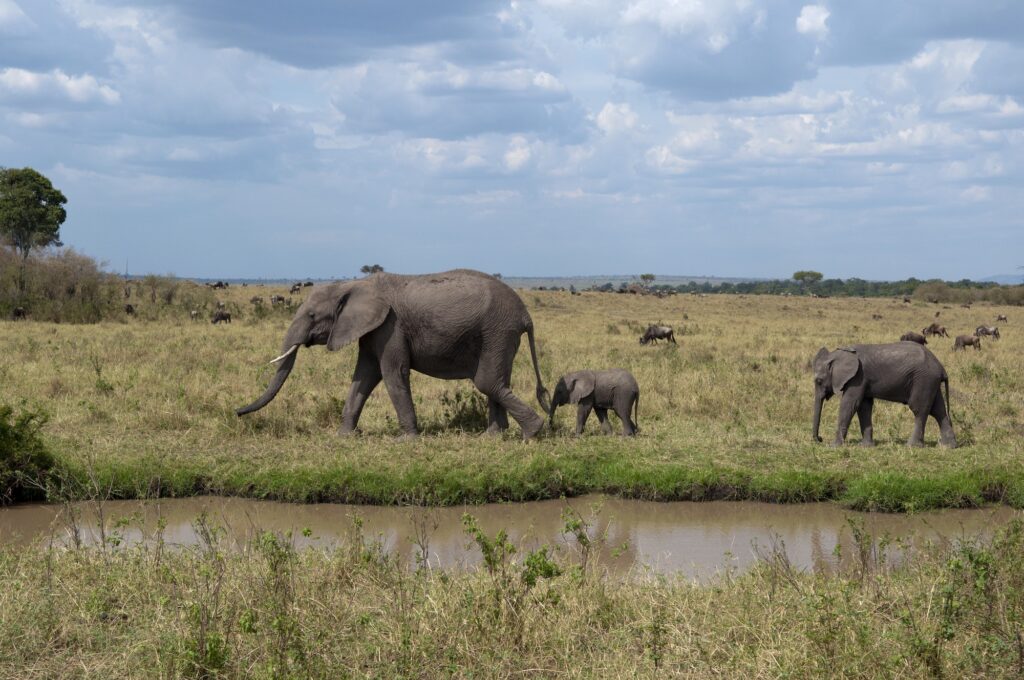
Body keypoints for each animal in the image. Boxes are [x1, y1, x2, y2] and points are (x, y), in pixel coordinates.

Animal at [236, 268, 552, 438]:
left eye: (312, 315)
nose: (237, 412)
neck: (355, 285)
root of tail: (526, 315)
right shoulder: (371, 329)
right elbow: (363, 377)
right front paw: (345, 436)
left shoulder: (391, 326)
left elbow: (392, 373)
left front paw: (406, 440)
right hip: (500, 334)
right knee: (497, 381)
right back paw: (493, 436)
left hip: (498, 330)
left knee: (487, 381)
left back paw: (532, 432)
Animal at [811, 342, 954, 448]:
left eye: (819, 381)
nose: (820, 439)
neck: (840, 353)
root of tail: (942, 368)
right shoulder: (863, 380)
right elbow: (864, 406)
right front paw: (866, 447)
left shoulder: (858, 377)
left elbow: (850, 404)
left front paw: (834, 446)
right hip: (930, 381)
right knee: (938, 410)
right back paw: (948, 446)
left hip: (923, 380)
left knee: (919, 409)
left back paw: (912, 446)